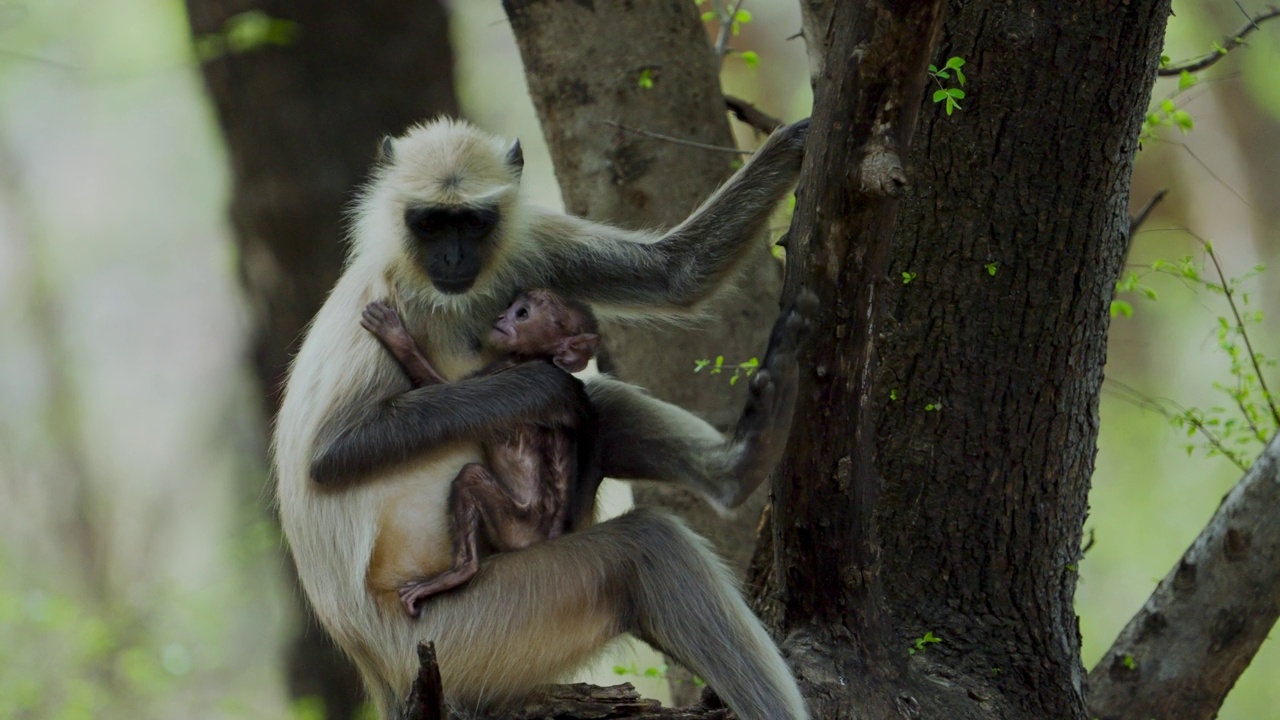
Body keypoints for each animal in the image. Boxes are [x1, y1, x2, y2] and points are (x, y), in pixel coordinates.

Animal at [271, 114, 814, 712]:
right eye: (432, 224)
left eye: (472, 223)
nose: (453, 258)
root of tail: (376, 671)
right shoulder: (385, 291)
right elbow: (329, 456)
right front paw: (540, 383)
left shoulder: (525, 246)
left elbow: (675, 275)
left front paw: (794, 142)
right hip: (458, 634)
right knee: (646, 544)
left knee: (601, 409)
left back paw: (743, 463)